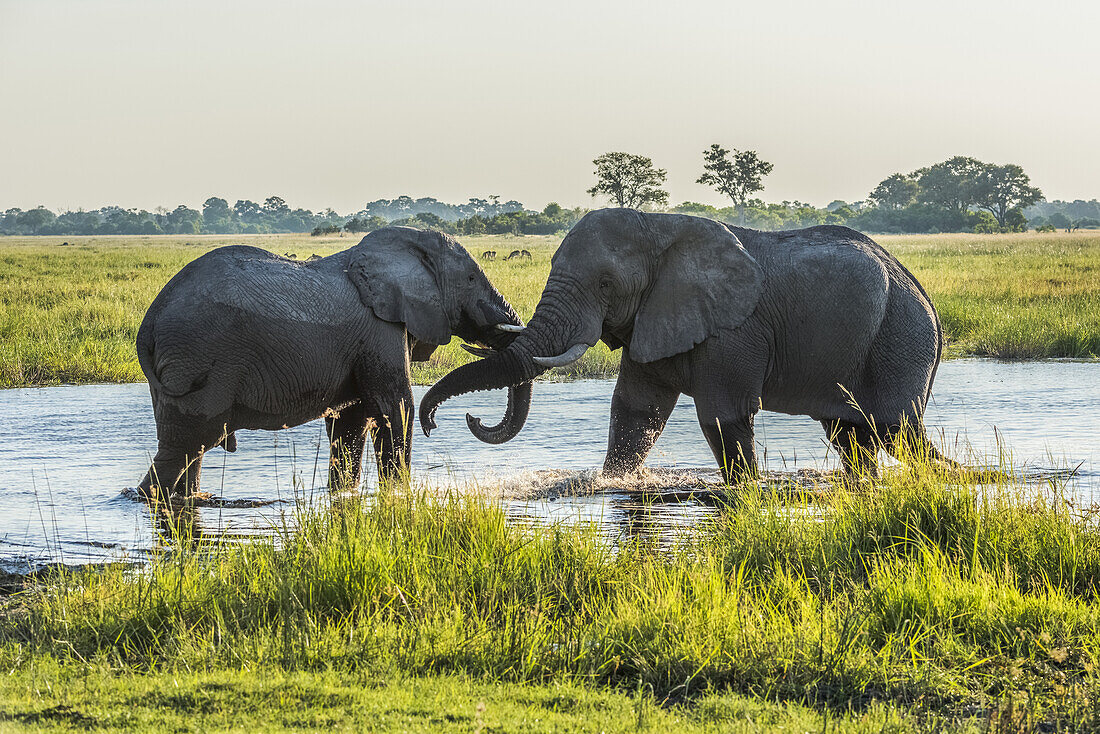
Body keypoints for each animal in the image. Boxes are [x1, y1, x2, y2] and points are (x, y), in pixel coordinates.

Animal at [135, 225, 530, 499]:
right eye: (471, 278)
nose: (470, 419)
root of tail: (150, 320)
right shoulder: (380, 330)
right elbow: (395, 408)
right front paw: (399, 495)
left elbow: (351, 422)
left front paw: (344, 495)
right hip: (198, 357)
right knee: (187, 445)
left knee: (190, 450)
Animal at [415, 207, 950, 481]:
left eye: (606, 284)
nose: (441, 422)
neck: (660, 227)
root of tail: (924, 293)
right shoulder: (652, 317)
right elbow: (636, 413)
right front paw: (613, 484)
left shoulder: (734, 331)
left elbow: (722, 415)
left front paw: (745, 493)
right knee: (853, 436)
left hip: (901, 336)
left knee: (894, 430)